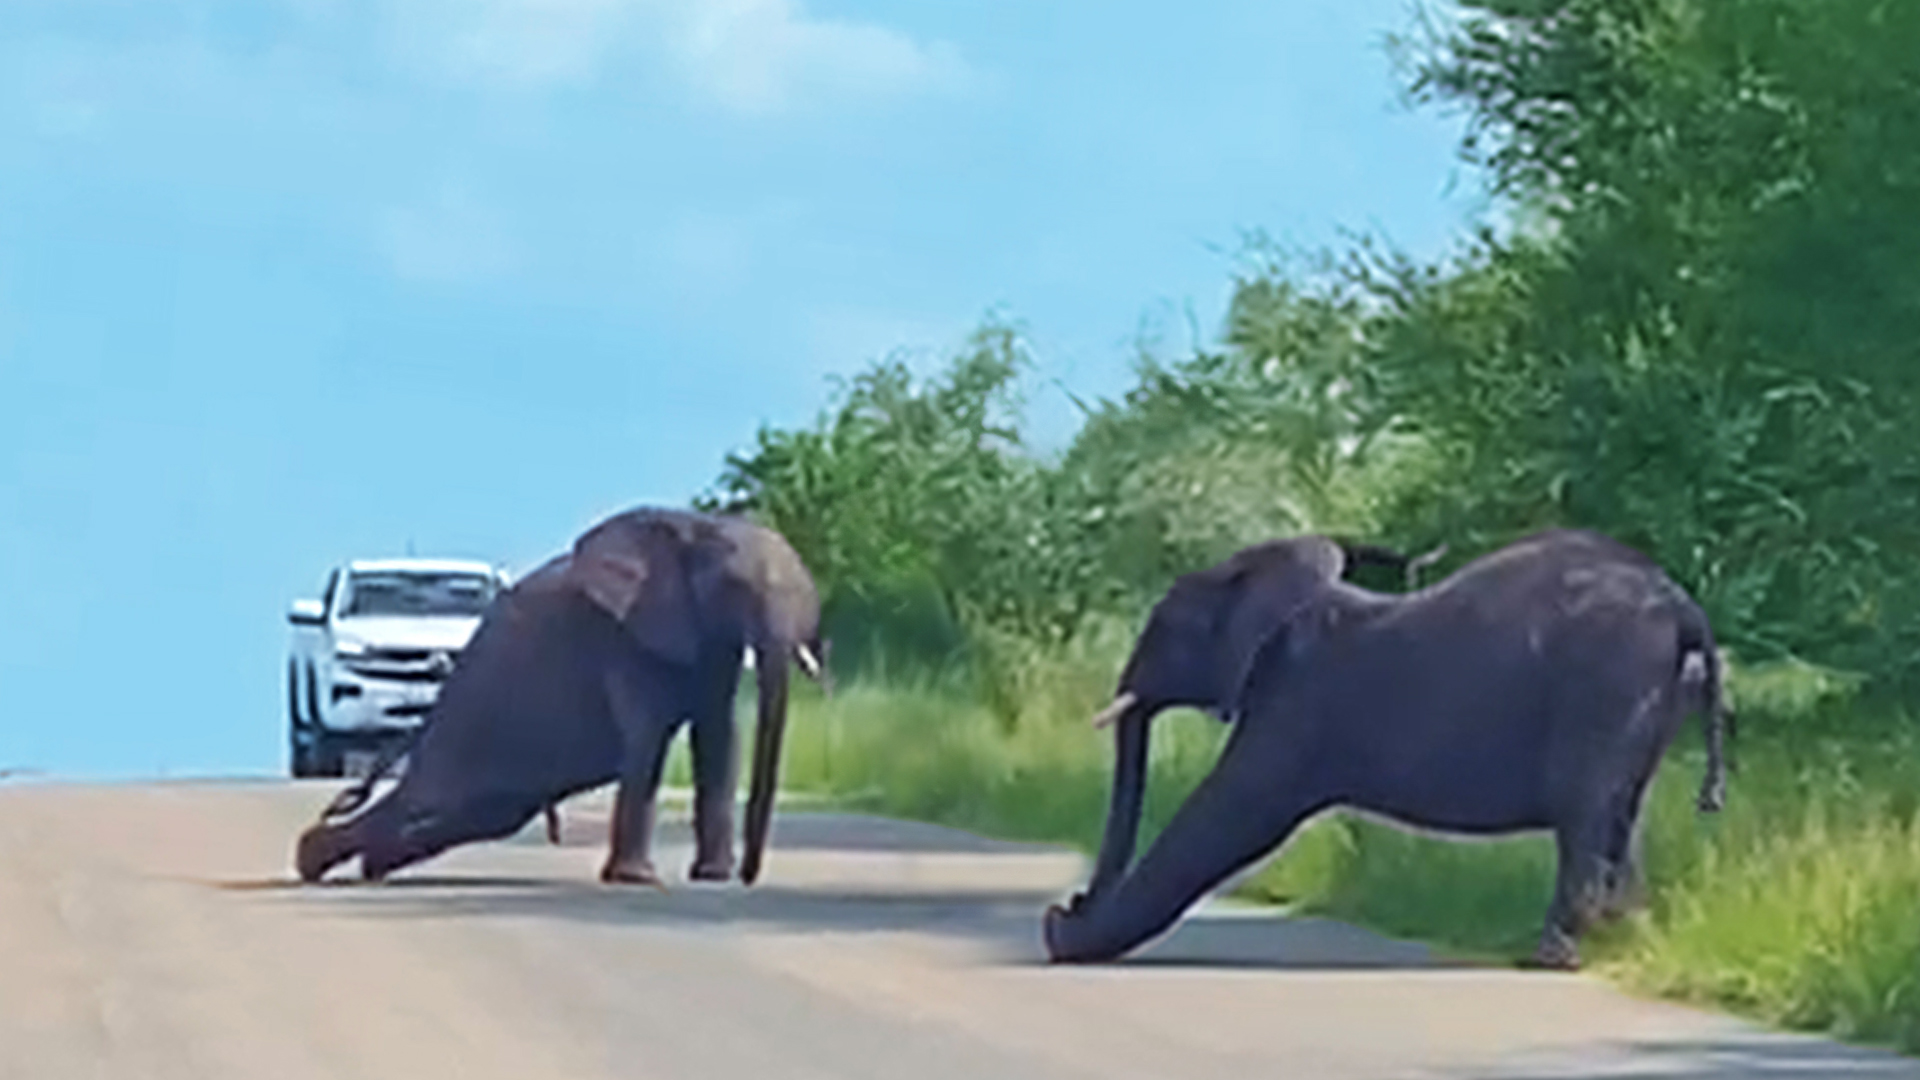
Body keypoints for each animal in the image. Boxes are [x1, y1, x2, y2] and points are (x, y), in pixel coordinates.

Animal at [294, 507, 826, 888]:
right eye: (734, 585)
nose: (749, 877)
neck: (700, 526)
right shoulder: (622, 636)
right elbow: (648, 739)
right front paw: (636, 880)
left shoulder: (709, 640)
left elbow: (718, 739)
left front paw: (712, 877)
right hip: (475, 711)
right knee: (429, 798)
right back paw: (315, 861)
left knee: (472, 814)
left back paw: (367, 865)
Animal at [1042, 528, 1730, 970]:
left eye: (1167, 627)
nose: (1064, 907)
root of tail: (1682, 604)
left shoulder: (1294, 705)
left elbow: (1230, 818)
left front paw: (1067, 940)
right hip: (1647, 697)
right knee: (1621, 813)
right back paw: (1625, 938)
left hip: (1603, 687)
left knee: (1585, 814)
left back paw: (1552, 958)